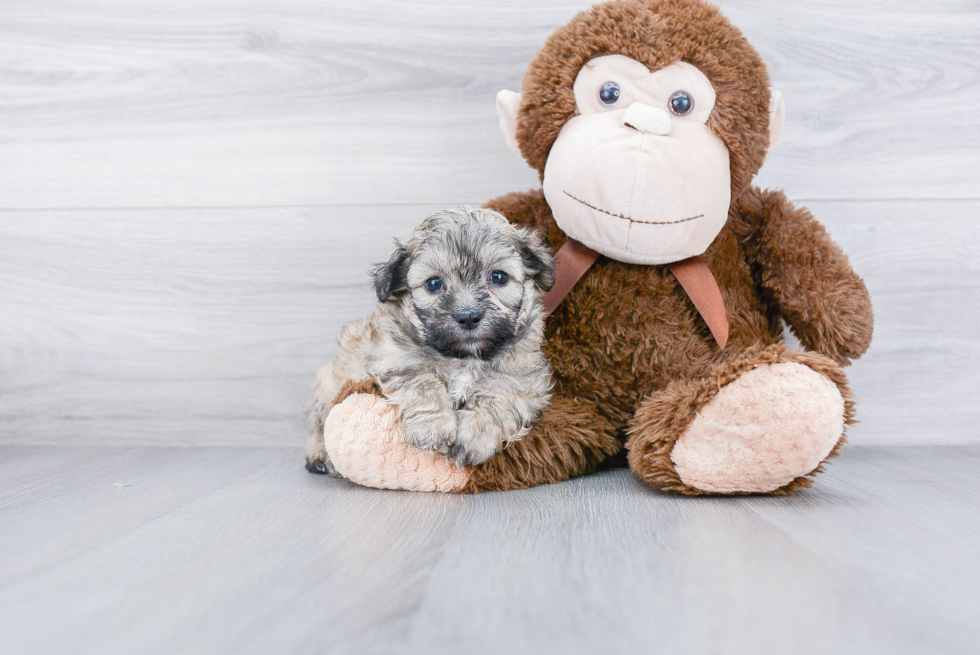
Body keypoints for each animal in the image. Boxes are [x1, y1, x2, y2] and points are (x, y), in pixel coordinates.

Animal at [302, 206, 556, 472]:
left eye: (498, 277)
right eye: (434, 283)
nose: (468, 317)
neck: (464, 357)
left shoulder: (524, 379)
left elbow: (499, 394)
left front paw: (475, 436)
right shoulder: (394, 357)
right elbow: (423, 382)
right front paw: (432, 427)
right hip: (327, 384)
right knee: (318, 424)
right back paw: (318, 456)